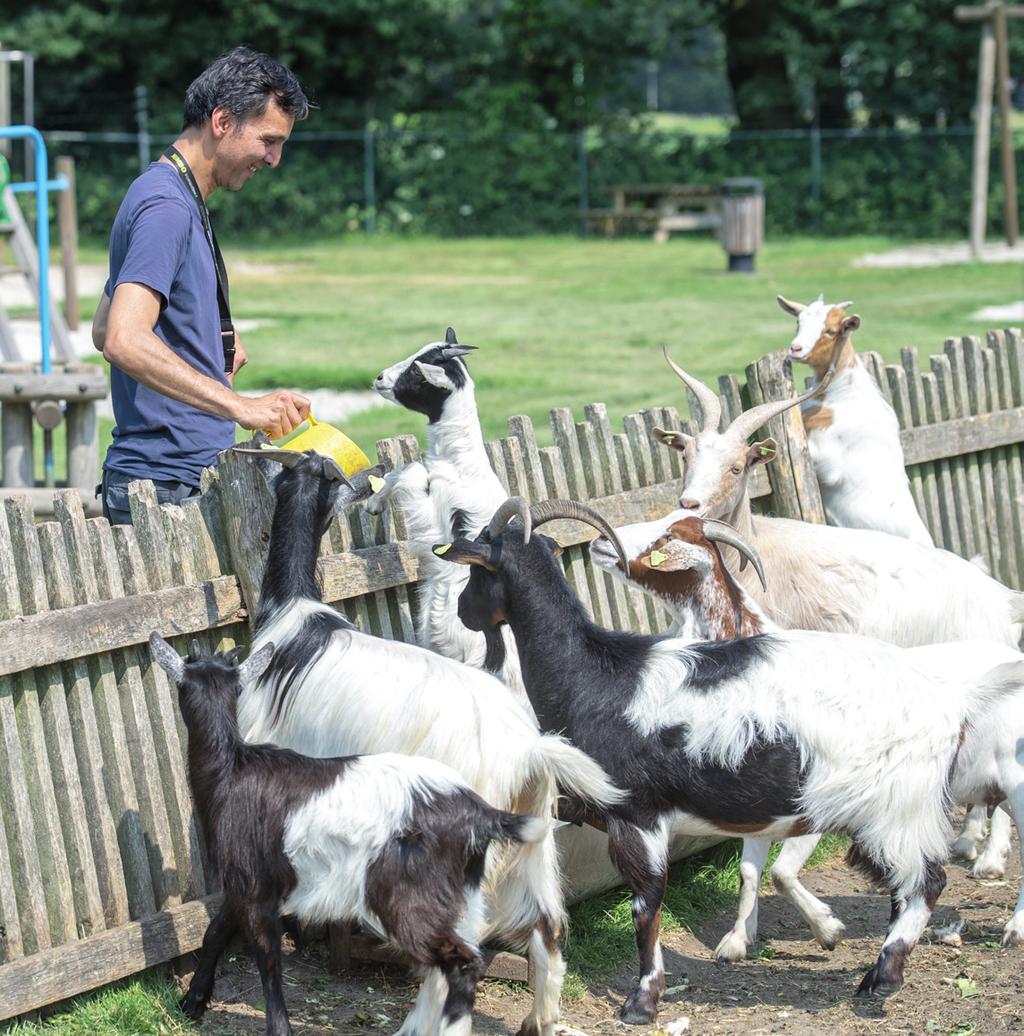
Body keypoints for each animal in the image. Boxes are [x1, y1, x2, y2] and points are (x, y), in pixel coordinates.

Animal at [149, 629, 551, 1036]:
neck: (230, 770)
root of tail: (479, 812)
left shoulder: (253, 883)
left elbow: (267, 957)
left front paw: (274, 1025)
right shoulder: (249, 881)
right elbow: (215, 931)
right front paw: (192, 1003)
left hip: (409, 899)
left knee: (462, 963)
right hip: (462, 894)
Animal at [229, 447, 626, 1036]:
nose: (369, 488)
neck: (292, 615)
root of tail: (527, 753)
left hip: (449, 852)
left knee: (460, 948)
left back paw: (420, 1022)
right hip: (534, 837)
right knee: (549, 928)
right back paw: (540, 1020)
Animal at [366, 327, 524, 692]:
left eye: (416, 371)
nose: (379, 378)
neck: (461, 462)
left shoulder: (434, 520)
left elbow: (411, 469)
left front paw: (374, 502)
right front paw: (374, 502)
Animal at [433, 497, 1024, 1023]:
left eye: (476, 571)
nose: (462, 612)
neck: (597, 676)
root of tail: (951, 699)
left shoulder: (638, 814)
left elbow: (645, 906)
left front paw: (642, 1002)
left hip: (895, 807)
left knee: (927, 882)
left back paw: (883, 976)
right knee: (907, 887)